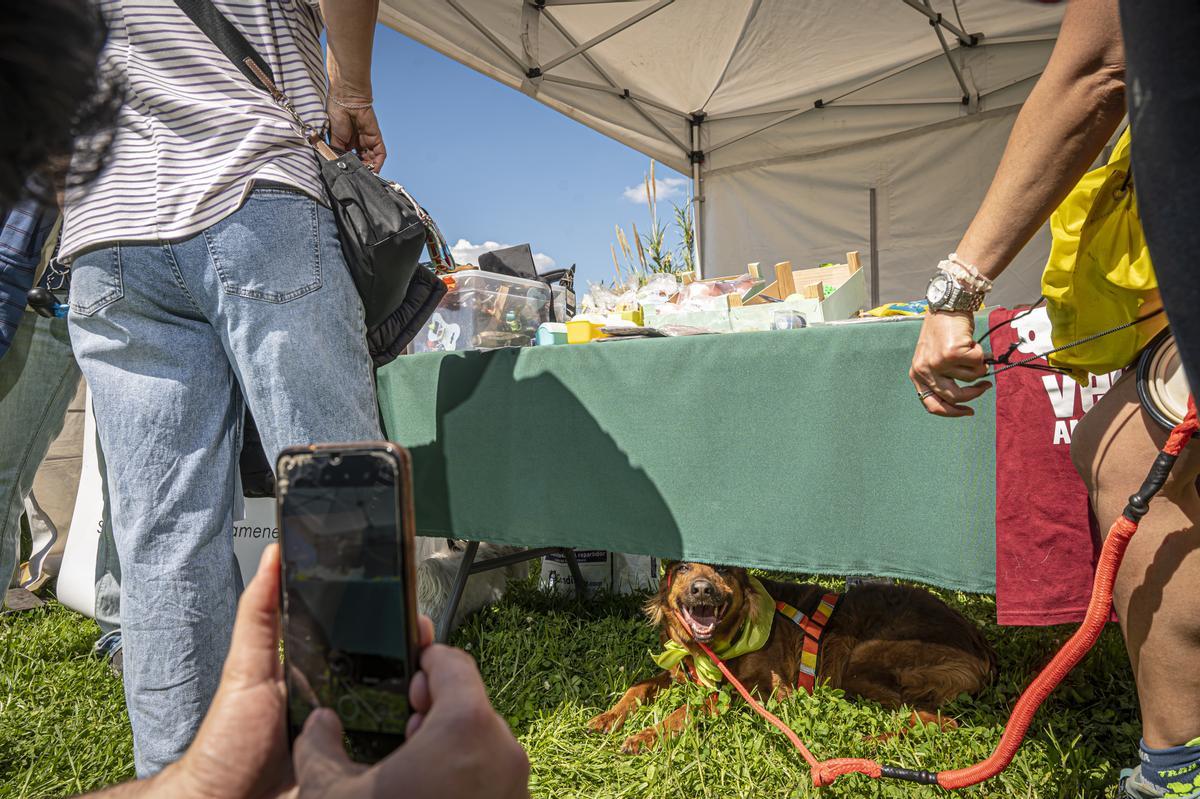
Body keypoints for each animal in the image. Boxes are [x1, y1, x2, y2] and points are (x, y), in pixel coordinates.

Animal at [588, 563, 993, 748]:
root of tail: (979, 639)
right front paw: (609, 716)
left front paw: (647, 735)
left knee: (939, 720)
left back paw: (864, 743)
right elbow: (639, 686)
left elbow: (694, 705)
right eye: (683, 568)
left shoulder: (766, 691)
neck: (714, 647)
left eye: (721, 569)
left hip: (860, 662)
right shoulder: (679, 672)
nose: (701, 590)